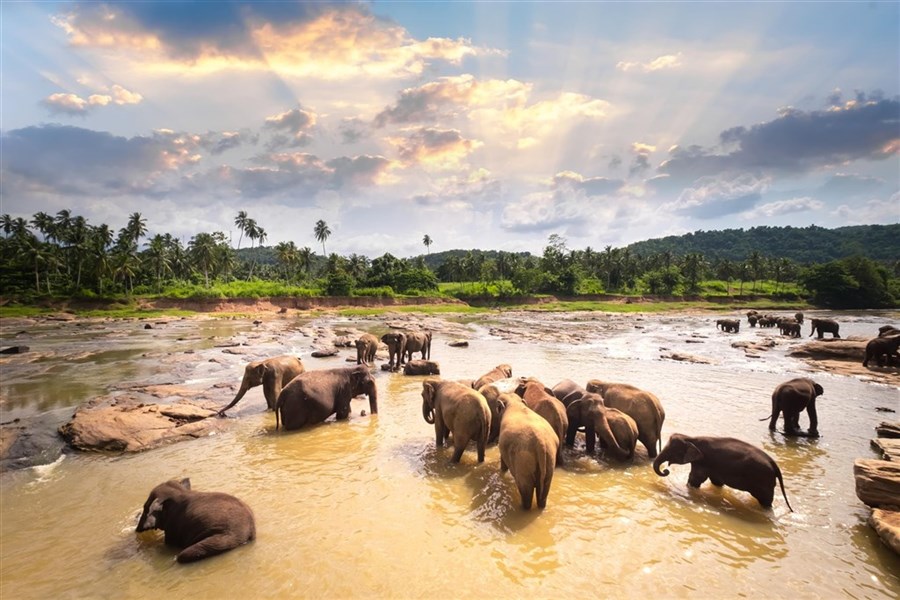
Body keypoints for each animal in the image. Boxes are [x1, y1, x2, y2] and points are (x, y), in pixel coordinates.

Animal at [652, 432, 796, 510]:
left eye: (671, 451)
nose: (666, 471)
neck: (691, 438)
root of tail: (774, 464)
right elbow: (716, 482)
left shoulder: (703, 462)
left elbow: (695, 479)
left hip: (763, 481)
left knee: (765, 500)